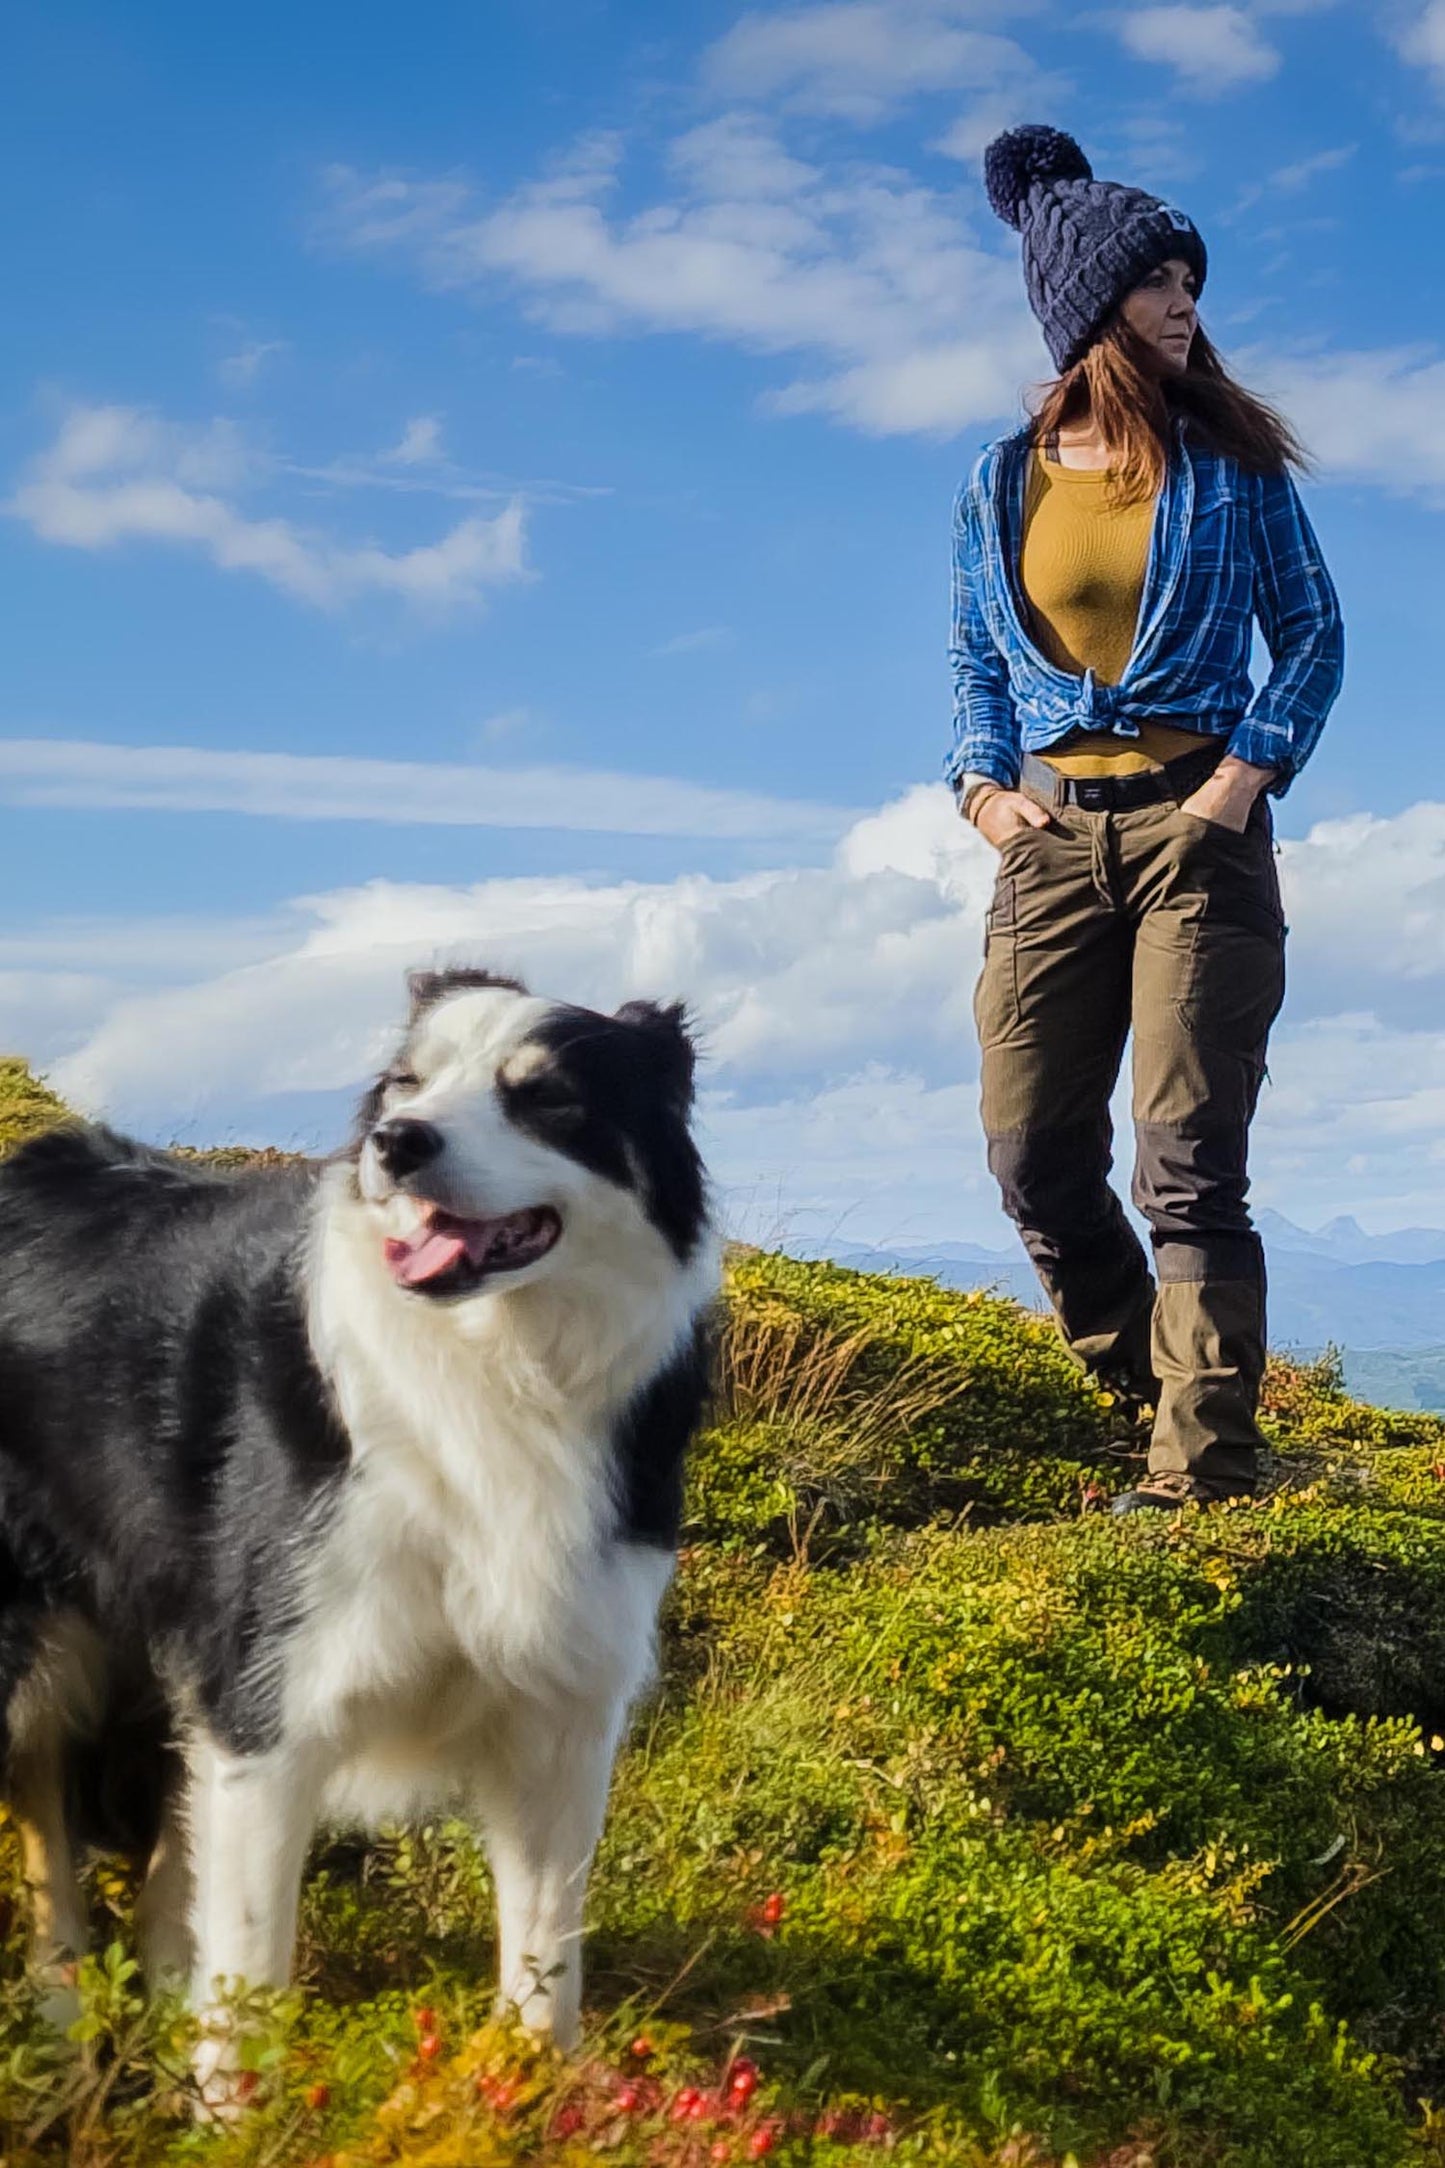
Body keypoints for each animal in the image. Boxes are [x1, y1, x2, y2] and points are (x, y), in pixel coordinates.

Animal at [0, 966, 719, 2098]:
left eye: (547, 1096)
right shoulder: (276, 1704)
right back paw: (65, 2008)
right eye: (406, 1082)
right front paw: (235, 2117)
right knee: (43, 1798)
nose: (397, 1141)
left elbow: (544, 1958)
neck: (492, 1370)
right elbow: (253, 1961)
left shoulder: (559, 1709)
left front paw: (527, 2102)